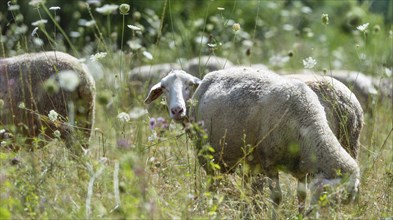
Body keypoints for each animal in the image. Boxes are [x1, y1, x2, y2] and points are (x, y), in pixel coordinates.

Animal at [144, 67, 358, 213]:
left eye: (188, 84)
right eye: (163, 88)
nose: (177, 110)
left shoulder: (300, 168)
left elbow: (300, 195)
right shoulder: (267, 161)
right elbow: (276, 197)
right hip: (209, 155)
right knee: (214, 184)